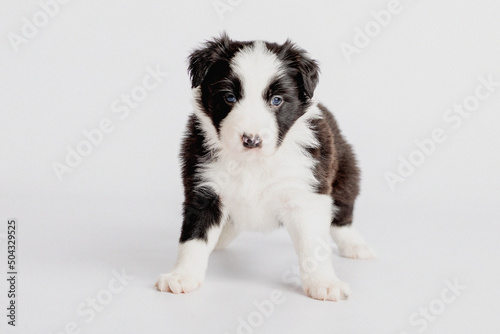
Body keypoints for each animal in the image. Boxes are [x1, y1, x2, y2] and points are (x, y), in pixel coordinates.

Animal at [156, 34, 376, 302]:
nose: (251, 140)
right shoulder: (204, 189)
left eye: (276, 100)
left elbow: (313, 245)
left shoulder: (306, 195)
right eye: (229, 97)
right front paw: (181, 276)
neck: (253, 163)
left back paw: (355, 245)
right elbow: (193, 238)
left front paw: (324, 283)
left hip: (346, 174)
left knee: (342, 215)